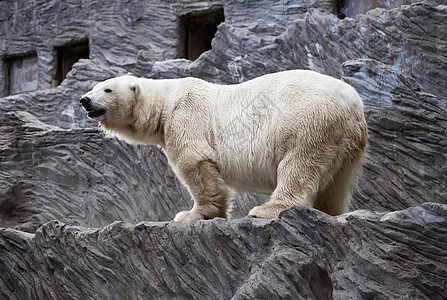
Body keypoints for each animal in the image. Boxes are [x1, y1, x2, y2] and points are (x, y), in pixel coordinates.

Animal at [79, 70, 368, 223]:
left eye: (107, 90)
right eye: (94, 87)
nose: (84, 100)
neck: (166, 101)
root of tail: (353, 103)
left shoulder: (186, 115)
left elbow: (194, 162)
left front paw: (192, 214)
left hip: (306, 120)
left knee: (298, 164)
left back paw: (268, 209)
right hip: (346, 142)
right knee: (337, 182)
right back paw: (330, 211)